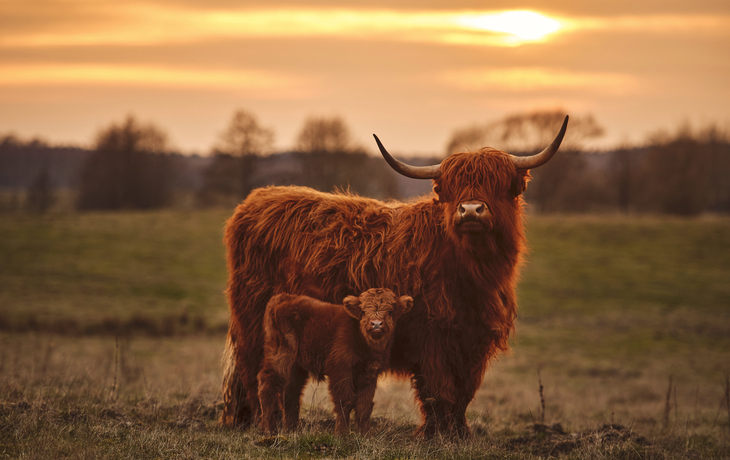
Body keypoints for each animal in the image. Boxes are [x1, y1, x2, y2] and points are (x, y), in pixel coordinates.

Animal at [258, 288, 412, 434]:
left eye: (390, 311)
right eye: (363, 311)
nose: (376, 324)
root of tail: (282, 298)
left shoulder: (370, 373)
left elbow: (364, 406)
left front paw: (366, 434)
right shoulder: (340, 369)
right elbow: (345, 401)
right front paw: (341, 434)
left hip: (296, 367)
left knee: (291, 392)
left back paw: (292, 430)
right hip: (281, 357)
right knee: (267, 385)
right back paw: (269, 430)